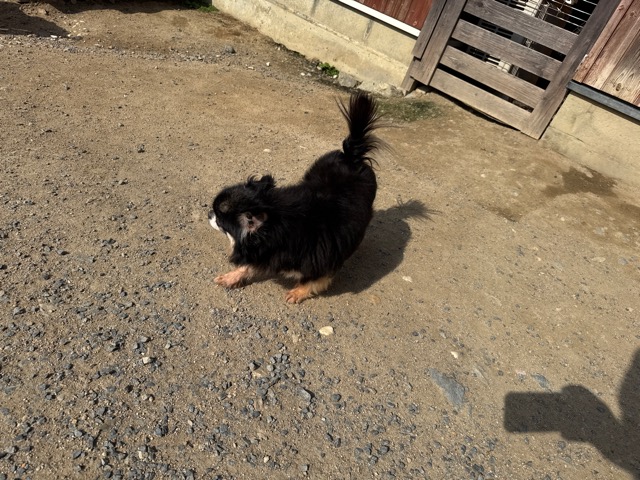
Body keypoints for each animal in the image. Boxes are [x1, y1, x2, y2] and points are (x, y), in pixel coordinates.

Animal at [208, 91, 383, 303]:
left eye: (219, 218)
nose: (208, 214)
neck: (279, 228)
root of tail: (352, 157)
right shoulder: (264, 253)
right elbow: (248, 265)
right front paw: (232, 276)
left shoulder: (321, 263)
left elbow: (312, 281)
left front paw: (298, 293)